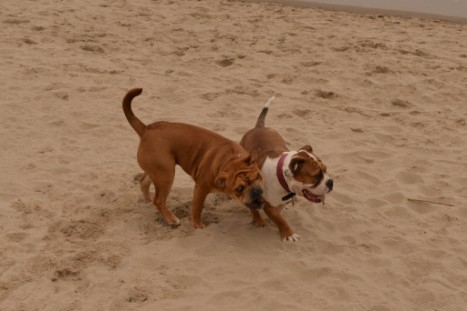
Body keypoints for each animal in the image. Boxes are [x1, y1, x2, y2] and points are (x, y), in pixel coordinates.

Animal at [122, 88, 266, 229]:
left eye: (257, 177)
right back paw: (172, 219)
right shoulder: (200, 188)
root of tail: (147, 129)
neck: (230, 159)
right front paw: (197, 225)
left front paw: (258, 219)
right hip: (166, 174)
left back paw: (147, 201)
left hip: (157, 170)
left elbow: (254, 207)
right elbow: (197, 208)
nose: (255, 191)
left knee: (144, 181)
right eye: (239, 189)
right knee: (158, 200)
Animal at [241, 96, 332, 243]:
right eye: (317, 176)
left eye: (326, 170)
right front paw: (288, 233)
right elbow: (279, 219)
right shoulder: (268, 204)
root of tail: (259, 127)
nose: (331, 182)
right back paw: (255, 216)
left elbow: (280, 210)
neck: (282, 178)